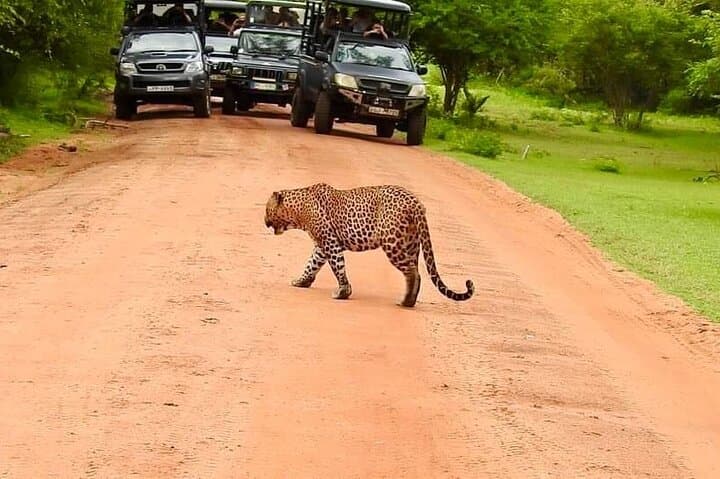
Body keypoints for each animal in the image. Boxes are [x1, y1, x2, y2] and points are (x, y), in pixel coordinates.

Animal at [264, 183, 474, 307]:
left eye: (267, 210)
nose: (264, 222)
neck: (298, 211)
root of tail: (416, 202)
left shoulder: (330, 243)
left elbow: (338, 267)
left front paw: (342, 293)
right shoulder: (322, 246)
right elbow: (311, 264)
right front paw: (302, 281)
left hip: (392, 243)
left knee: (413, 272)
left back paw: (405, 302)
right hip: (411, 243)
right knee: (416, 272)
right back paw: (410, 300)